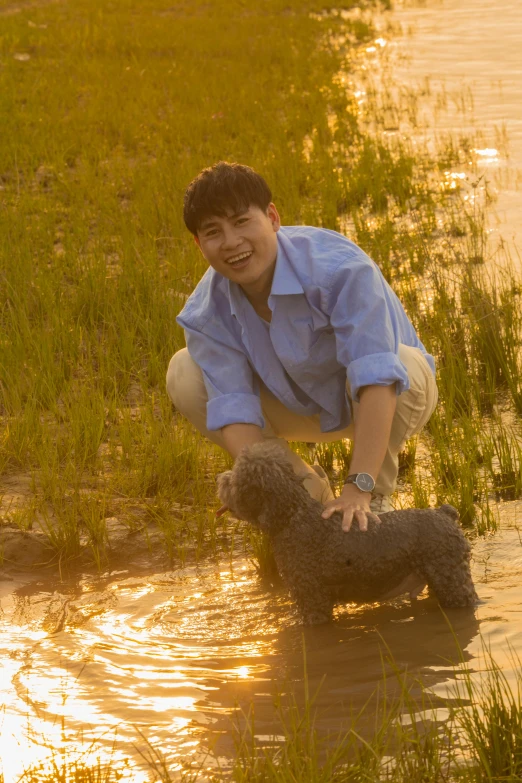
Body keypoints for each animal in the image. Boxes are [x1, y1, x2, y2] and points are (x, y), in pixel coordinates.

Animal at [217, 444, 478, 628]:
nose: (221, 479)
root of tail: (445, 513)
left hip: (452, 581)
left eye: (234, 479)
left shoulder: (312, 600)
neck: (292, 515)